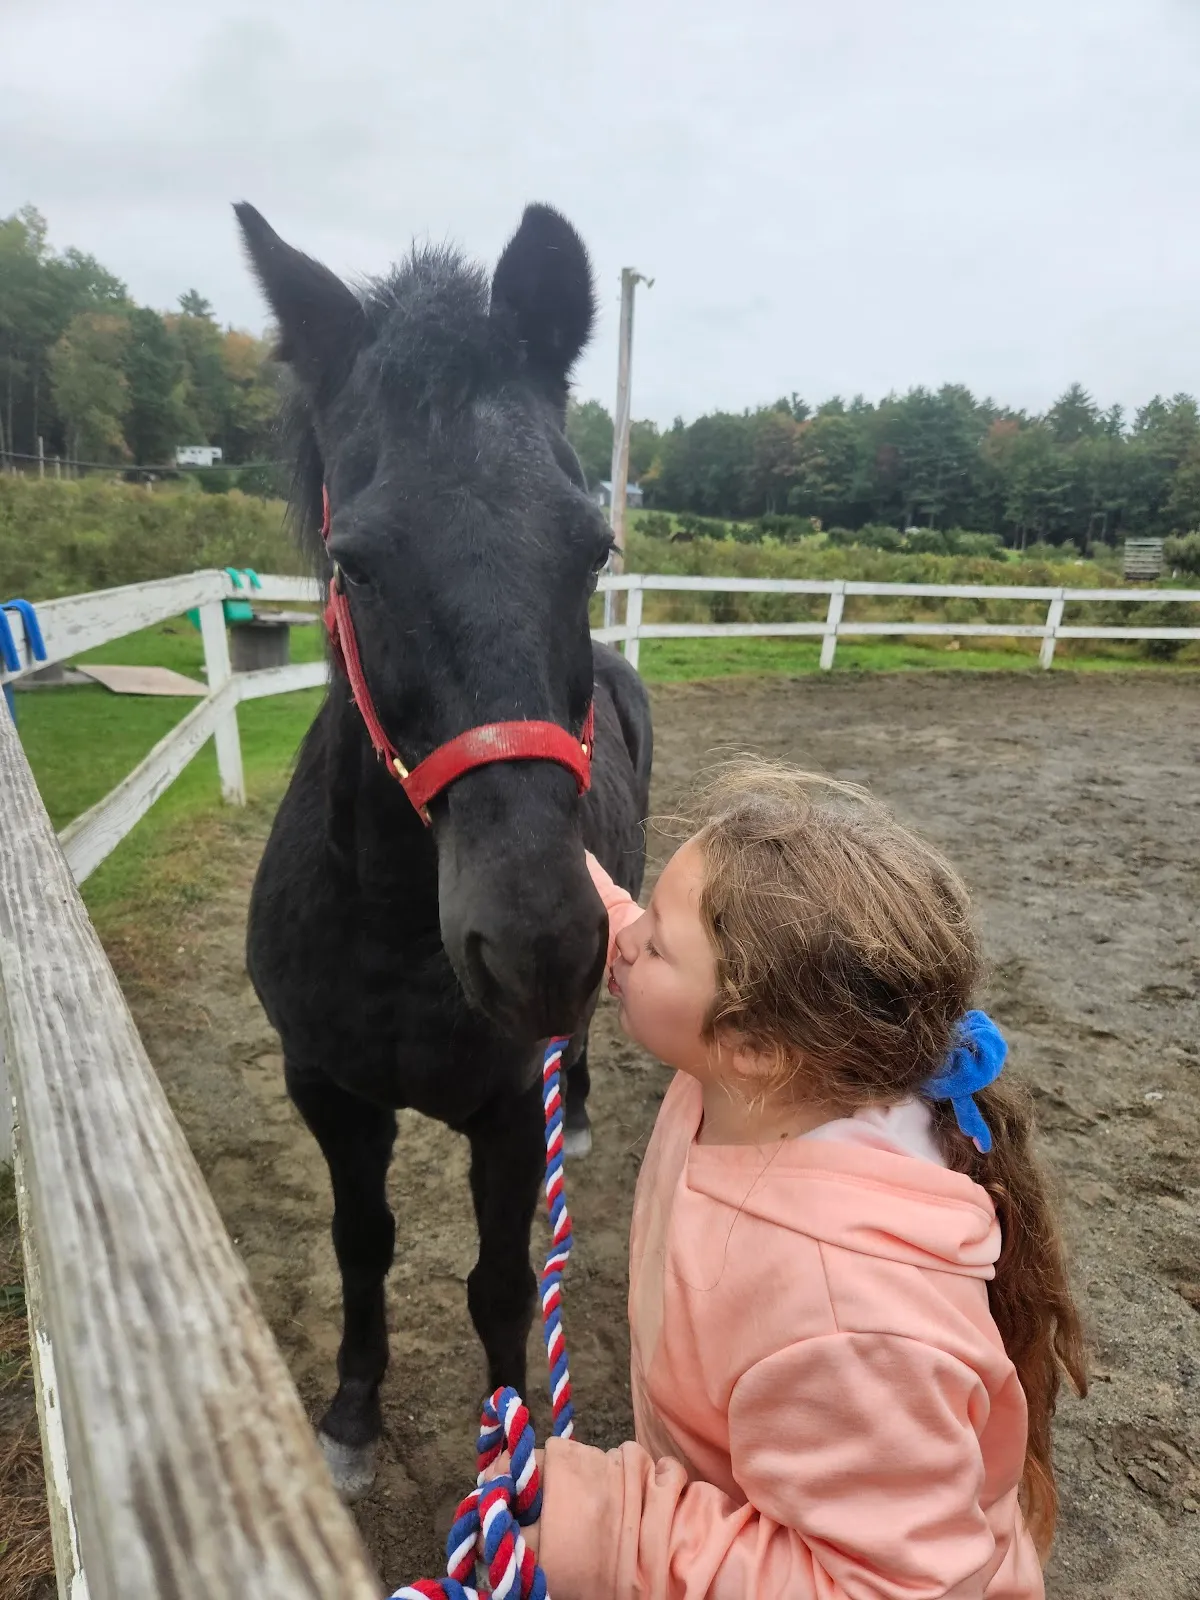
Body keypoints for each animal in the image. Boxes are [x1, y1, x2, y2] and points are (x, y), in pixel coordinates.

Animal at [235, 201, 652, 1500]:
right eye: (355, 562)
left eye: (593, 547)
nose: (535, 944)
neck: (388, 927)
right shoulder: (326, 1089)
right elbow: (362, 1243)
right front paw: (351, 1415)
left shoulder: (507, 1112)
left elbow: (503, 1285)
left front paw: (517, 1470)